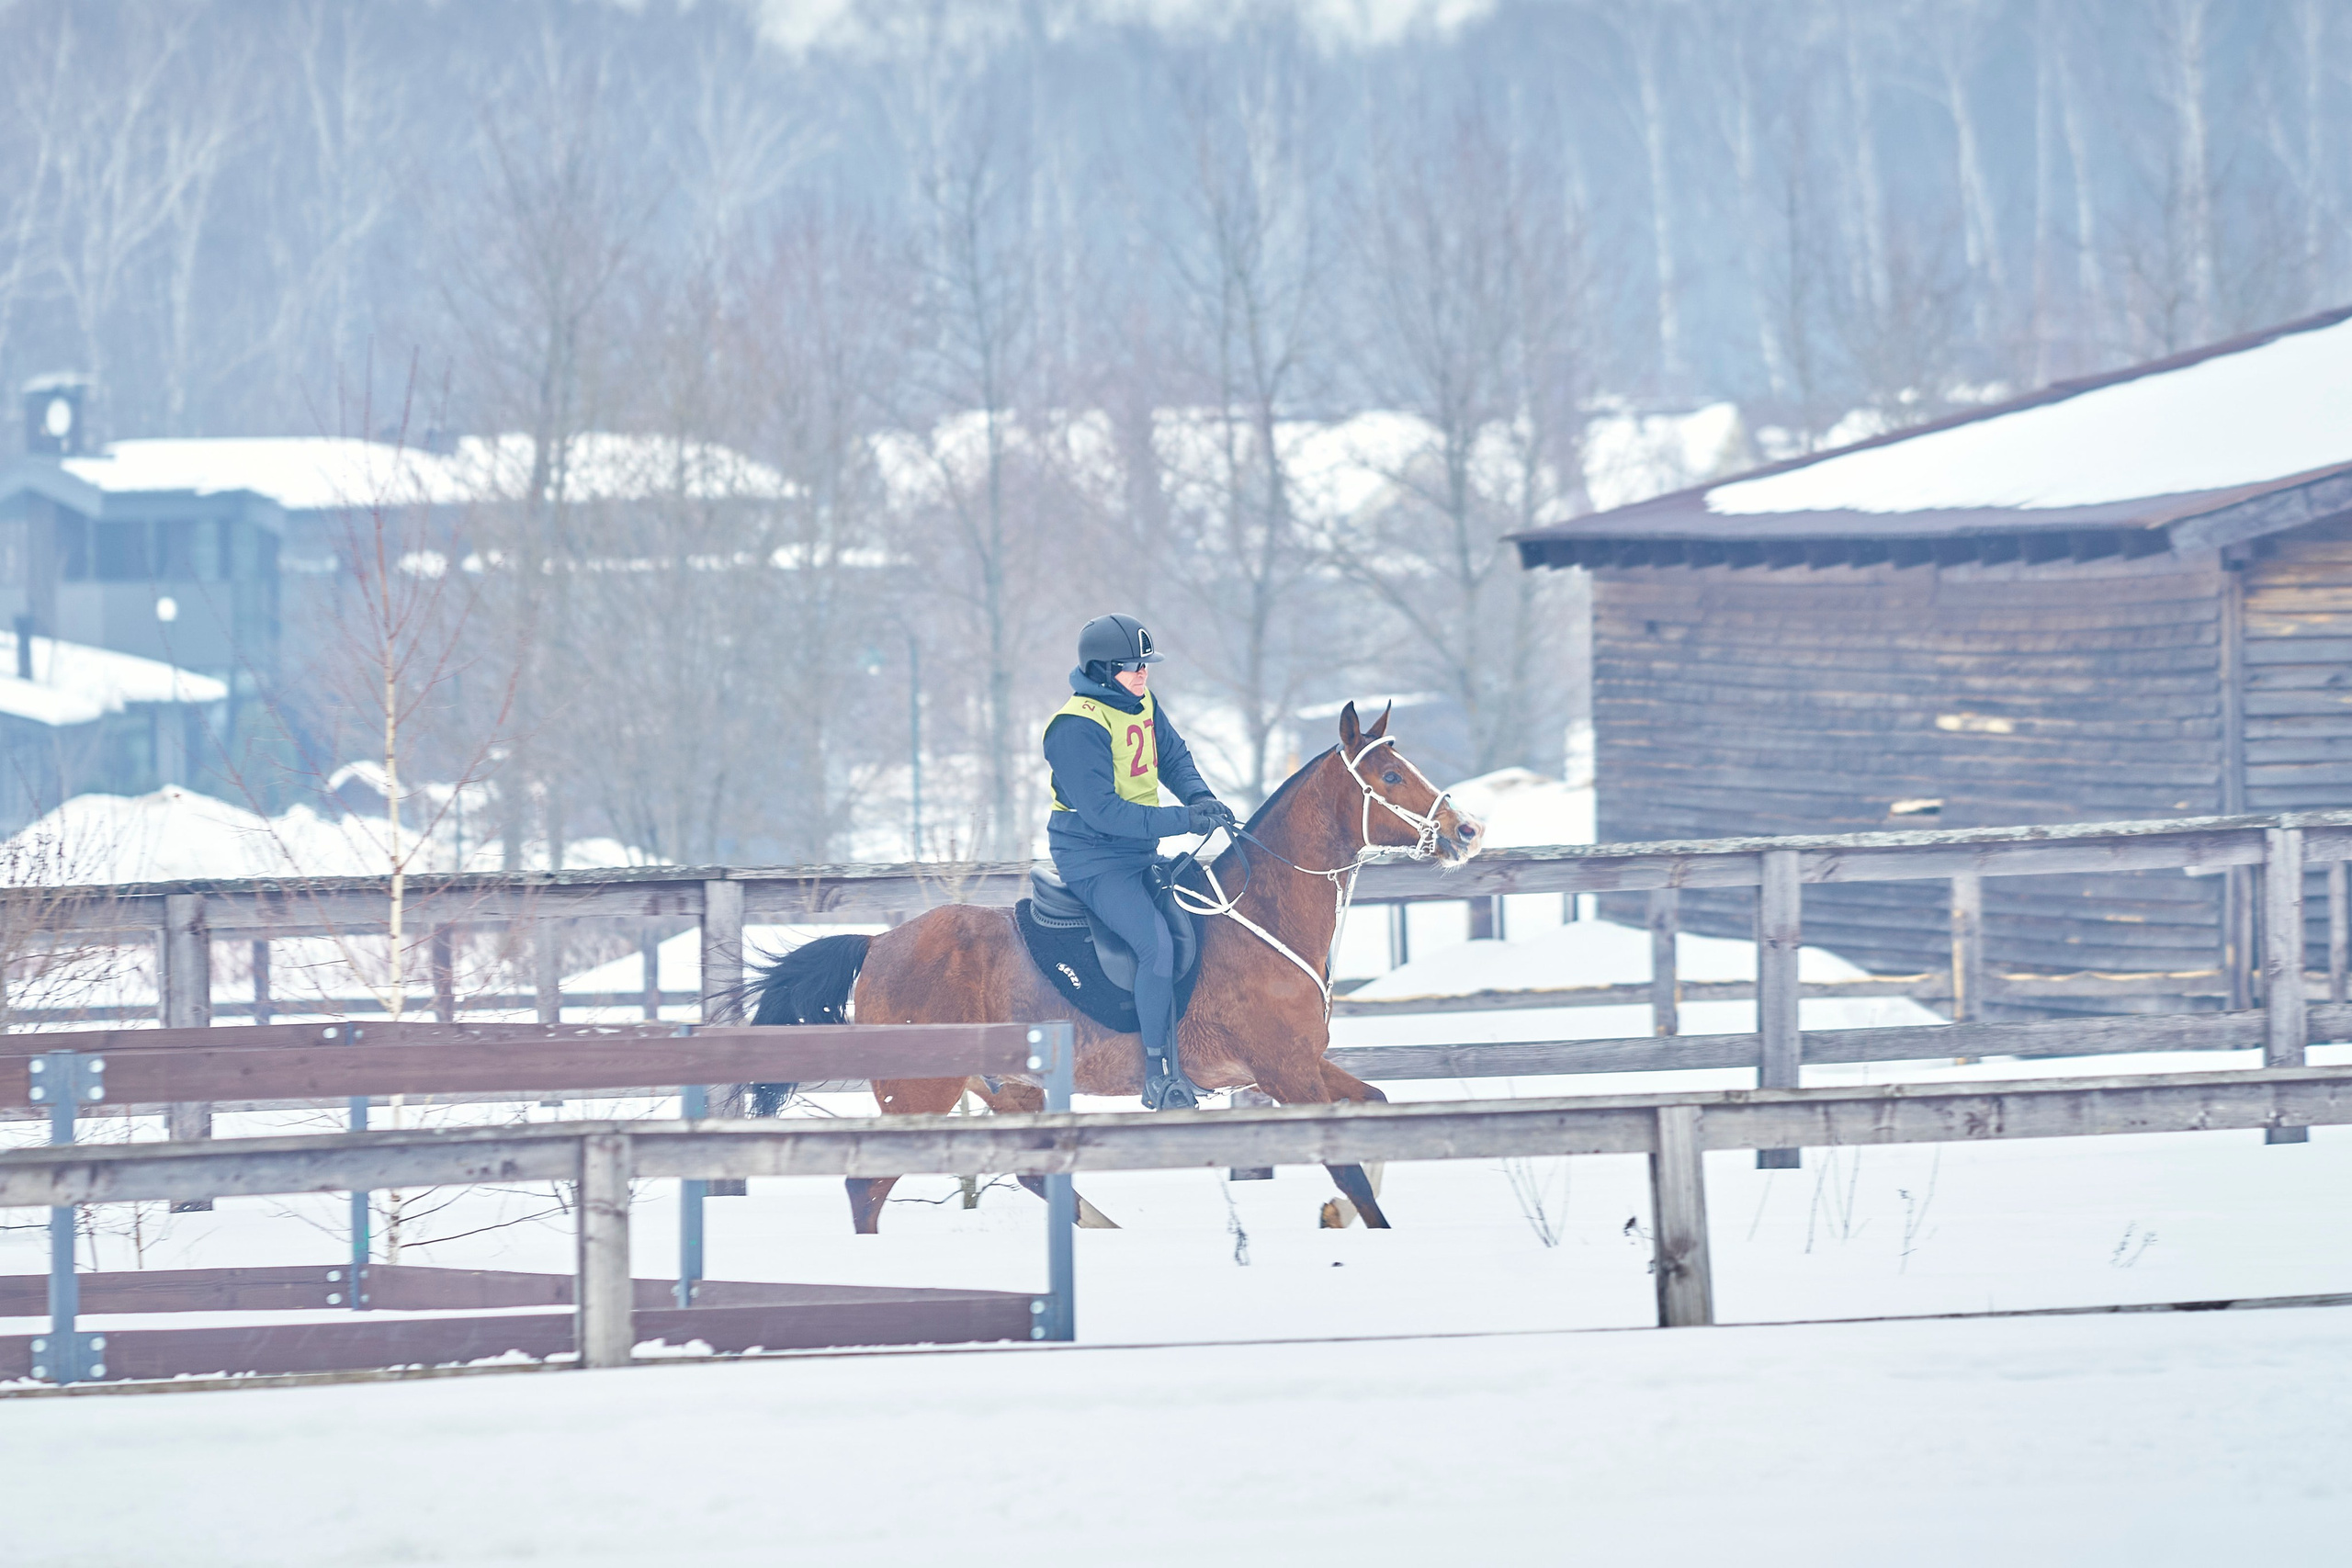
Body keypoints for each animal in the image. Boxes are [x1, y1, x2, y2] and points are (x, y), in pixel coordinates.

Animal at [744, 700, 1486, 1233]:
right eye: (1390, 777)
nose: (1466, 831)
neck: (1263, 913)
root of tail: (878, 943)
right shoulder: (1283, 1071)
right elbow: (1348, 1165)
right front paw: (1366, 1225)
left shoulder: (1301, 1063)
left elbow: (1377, 1106)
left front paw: (1338, 1217)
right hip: (917, 1091)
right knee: (865, 1185)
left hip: (1007, 1089)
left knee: (1030, 1174)